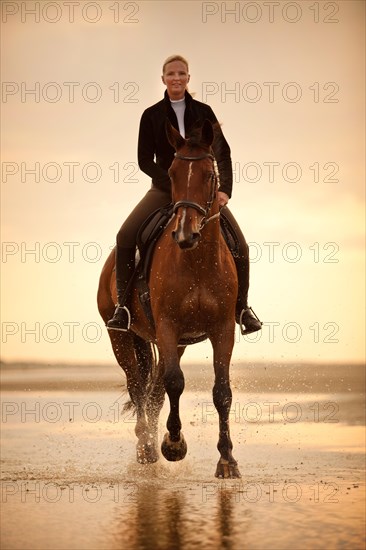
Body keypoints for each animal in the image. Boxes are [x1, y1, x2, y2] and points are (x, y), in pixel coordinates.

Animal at [98, 119, 240, 478]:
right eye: (173, 173)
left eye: (209, 175)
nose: (185, 234)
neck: (196, 260)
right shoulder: (167, 325)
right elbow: (175, 382)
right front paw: (173, 445)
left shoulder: (222, 330)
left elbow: (222, 392)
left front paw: (227, 459)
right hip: (122, 338)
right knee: (138, 386)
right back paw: (146, 446)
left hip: (173, 343)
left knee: (154, 391)